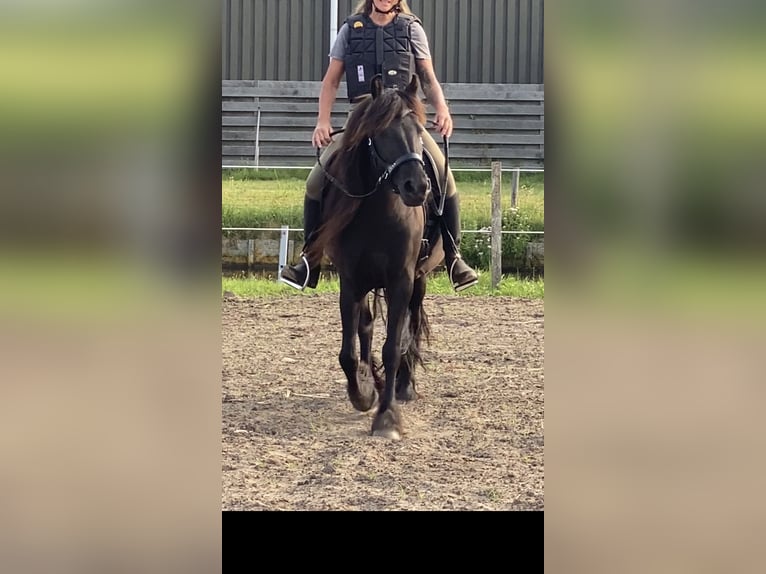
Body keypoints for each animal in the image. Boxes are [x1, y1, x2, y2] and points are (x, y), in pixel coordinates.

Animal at [305, 74, 446, 440]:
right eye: (381, 132)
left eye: (418, 128)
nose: (417, 187)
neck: (379, 213)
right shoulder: (351, 282)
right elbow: (349, 352)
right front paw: (364, 394)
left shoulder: (401, 280)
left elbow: (394, 346)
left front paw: (387, 417)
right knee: (367, 327)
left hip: (419, 280)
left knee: (412, 324)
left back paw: (405, 386)